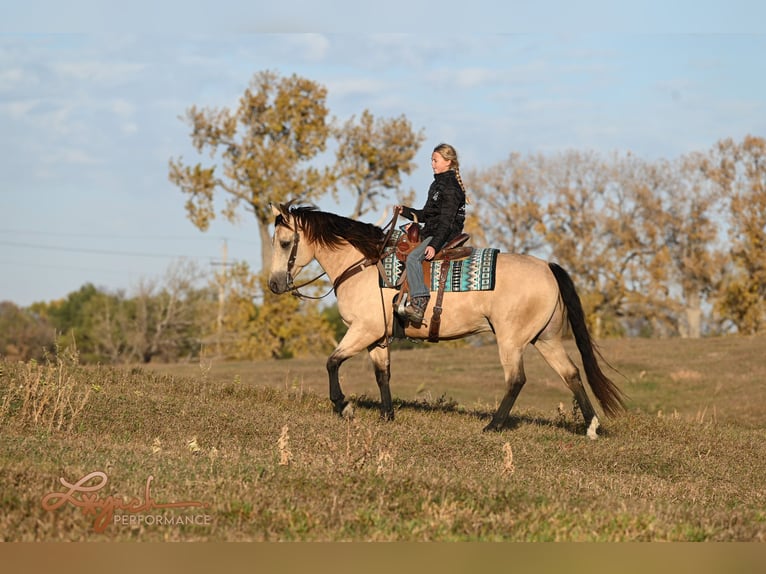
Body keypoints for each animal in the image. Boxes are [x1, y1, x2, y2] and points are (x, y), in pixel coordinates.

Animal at [268, 204, 628, 440]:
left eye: (285, 243)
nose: (274, 284)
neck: (364, 265)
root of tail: (547, 267)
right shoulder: (377, 338)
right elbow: (382, 375)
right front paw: (387, 415)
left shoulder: (362, 330)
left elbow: (332, 362)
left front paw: (343, 406)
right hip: (546, 338)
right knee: (572, 374)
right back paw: (591, 427)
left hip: (511, 340)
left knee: (516, 380)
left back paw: (494, 425)